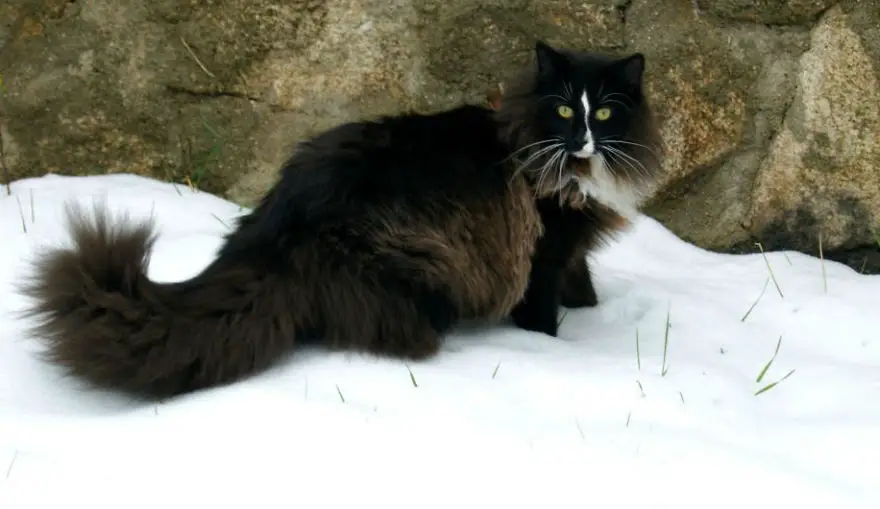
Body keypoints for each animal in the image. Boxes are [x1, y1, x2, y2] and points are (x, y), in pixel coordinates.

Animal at [492, 38, 664, 334]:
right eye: (564, 110)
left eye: (604, 113)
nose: (581, 139)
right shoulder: (542, 254)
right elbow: (540, 311)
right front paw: (542, 339)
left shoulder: (572, 250)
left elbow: (582, 288)